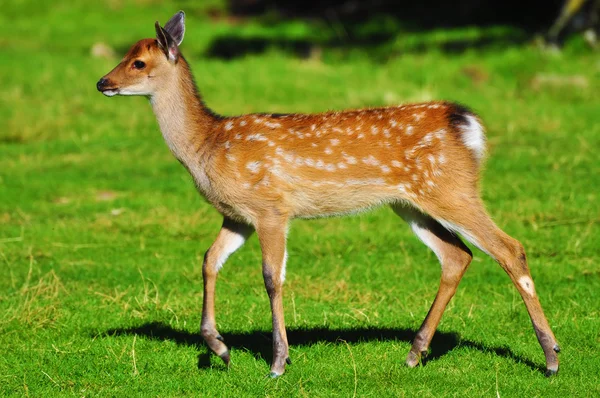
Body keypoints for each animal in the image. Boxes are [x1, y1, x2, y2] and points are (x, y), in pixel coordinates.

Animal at [96, 10, 560, 376]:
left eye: (138, 62)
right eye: (125, 56)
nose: (102, 82)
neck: (207, 146)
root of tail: (468, 126)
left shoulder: (271, 207)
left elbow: (272, 277)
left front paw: (278, 362)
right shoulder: (237, 215)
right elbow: (209, 261)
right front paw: (219, 348)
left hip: (450, 189)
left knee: (509, 248)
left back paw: (551, 356)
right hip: (410, 203)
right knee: (457, 255)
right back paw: (414, 353)